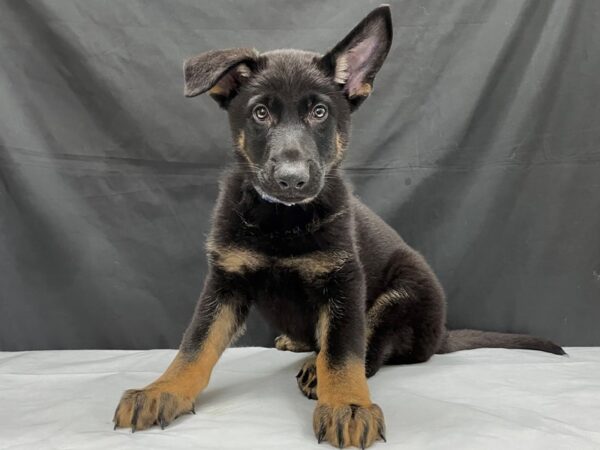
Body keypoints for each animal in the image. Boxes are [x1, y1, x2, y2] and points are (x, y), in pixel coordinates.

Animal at [113, 5, 568, 448]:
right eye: (260, 112)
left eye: (320, 113)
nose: (292, 180)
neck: (283, 221)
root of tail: (440, 337)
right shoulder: (226, 279)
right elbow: (195, 343)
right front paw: (162, 390)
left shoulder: (344, 281)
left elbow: (343, 351)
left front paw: (348, 405)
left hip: (403, 292)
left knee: (373, 347)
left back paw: (319, 369)